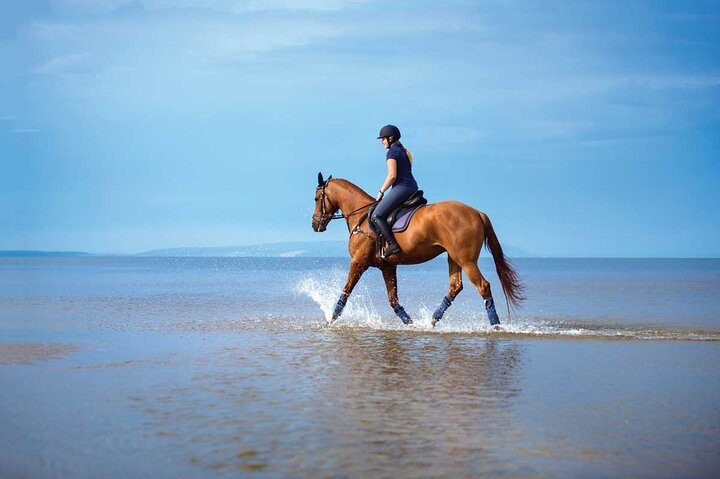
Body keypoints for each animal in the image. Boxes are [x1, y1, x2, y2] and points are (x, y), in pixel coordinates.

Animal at [311, 172, 524, 327]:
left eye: (316, 198)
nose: (315, 224)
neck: (361, 215)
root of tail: (477, 212)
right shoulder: (387, 267)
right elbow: (394, 300)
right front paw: (410, 323)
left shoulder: (358, 262)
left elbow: (345, 293)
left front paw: (331, 320)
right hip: (453, 257)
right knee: (455, 286)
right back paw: (433, 319)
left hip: (467, 260)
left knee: (483, 286)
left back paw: (495, 325)